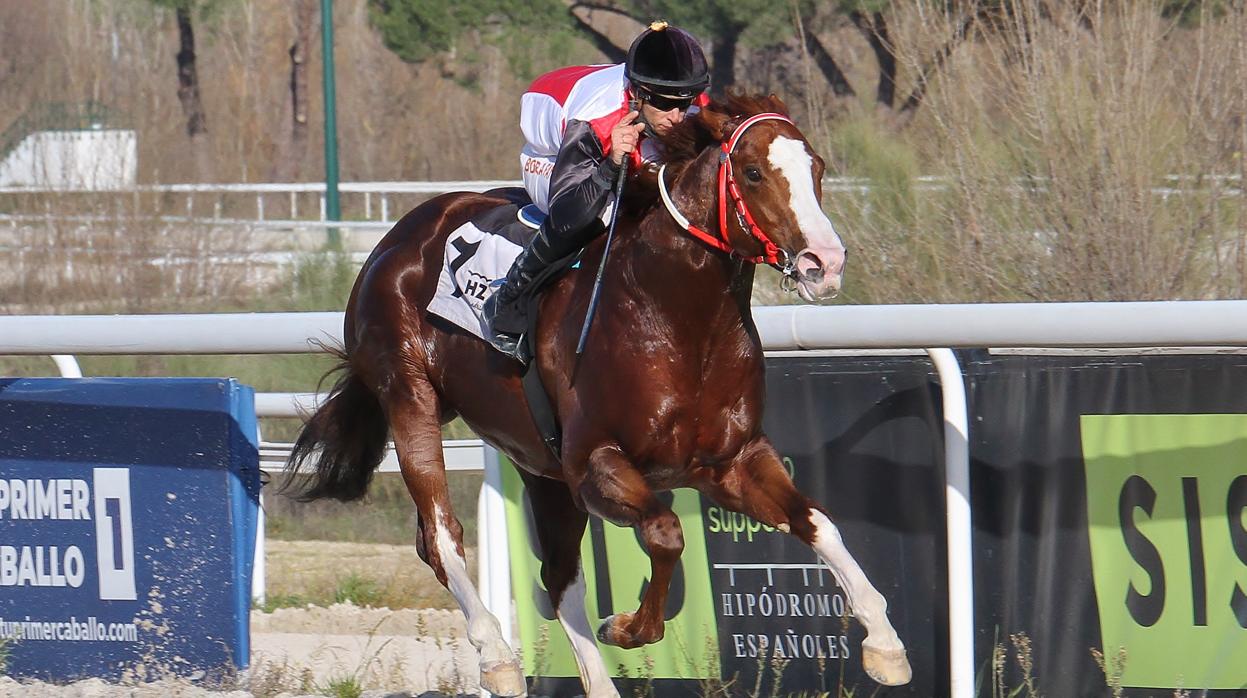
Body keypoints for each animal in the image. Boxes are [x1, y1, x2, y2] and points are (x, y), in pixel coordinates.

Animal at [289, 94, 917, 698]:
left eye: (818, 168)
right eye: (755, 172)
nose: (825, 263)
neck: (677, 315)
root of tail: (397, 237)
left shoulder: (731, 461)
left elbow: (817, 521)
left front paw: (885, 644)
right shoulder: (596, 463)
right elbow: (666, 533)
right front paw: (630, 627)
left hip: (537, 462)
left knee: (559, 575)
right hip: (410, 397)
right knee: (441, 535)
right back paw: (498, 658)